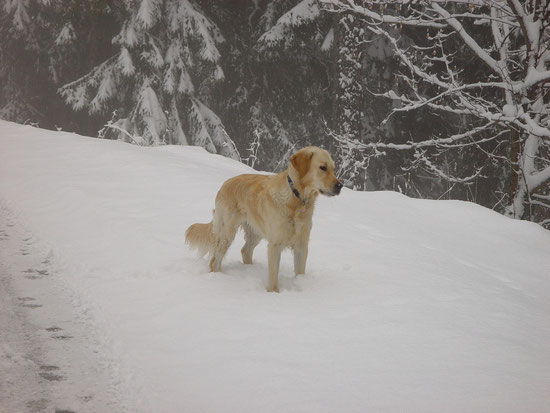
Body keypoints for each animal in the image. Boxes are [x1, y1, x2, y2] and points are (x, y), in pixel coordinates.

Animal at [187, 146, 340, 292]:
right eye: (322, 167)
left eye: (333, 169)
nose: (340, 186)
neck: (296, 198)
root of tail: (224, 184)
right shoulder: (275, 244)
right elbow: (273, 275)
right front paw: (273, 293)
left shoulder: (302, 244)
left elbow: (300, 271)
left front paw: (300, 284)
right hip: (227, 233)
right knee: (215, 260)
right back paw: (219, 276)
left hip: (255, 233)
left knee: (245, 251)